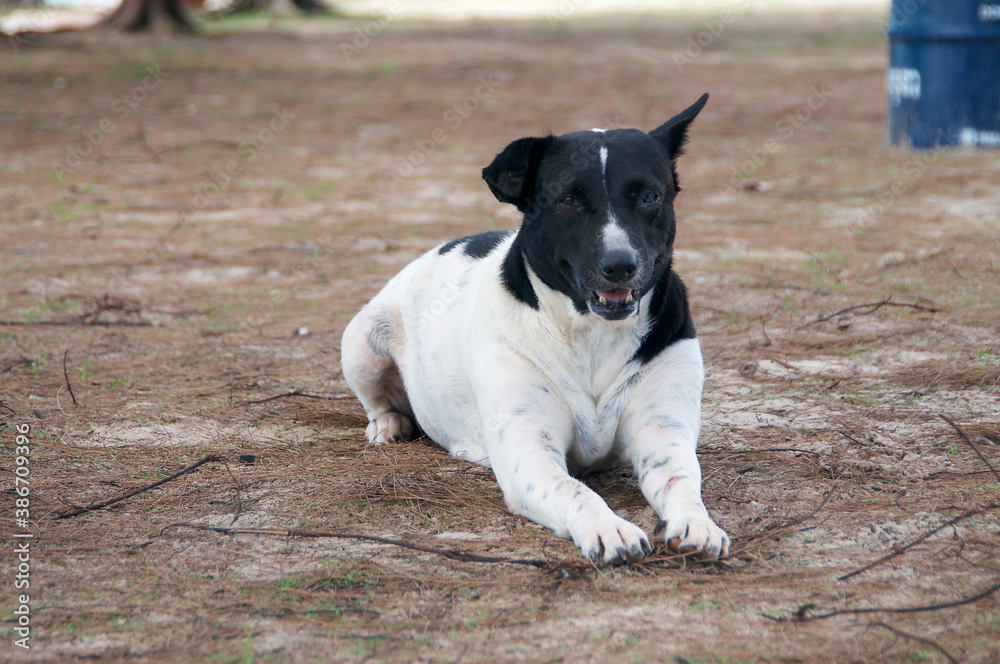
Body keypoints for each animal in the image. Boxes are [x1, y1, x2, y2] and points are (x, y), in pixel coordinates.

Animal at [342, 92, 728, 560]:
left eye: (650, 197)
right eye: (568, 200)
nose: (620, 264)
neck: (590, 333)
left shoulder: (662, 434)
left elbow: (683, 482)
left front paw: (697, 522)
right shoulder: (529, 452)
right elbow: (574, 490)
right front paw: (608, 527)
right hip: (362, 342)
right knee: (377, 401)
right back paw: (389, 424)